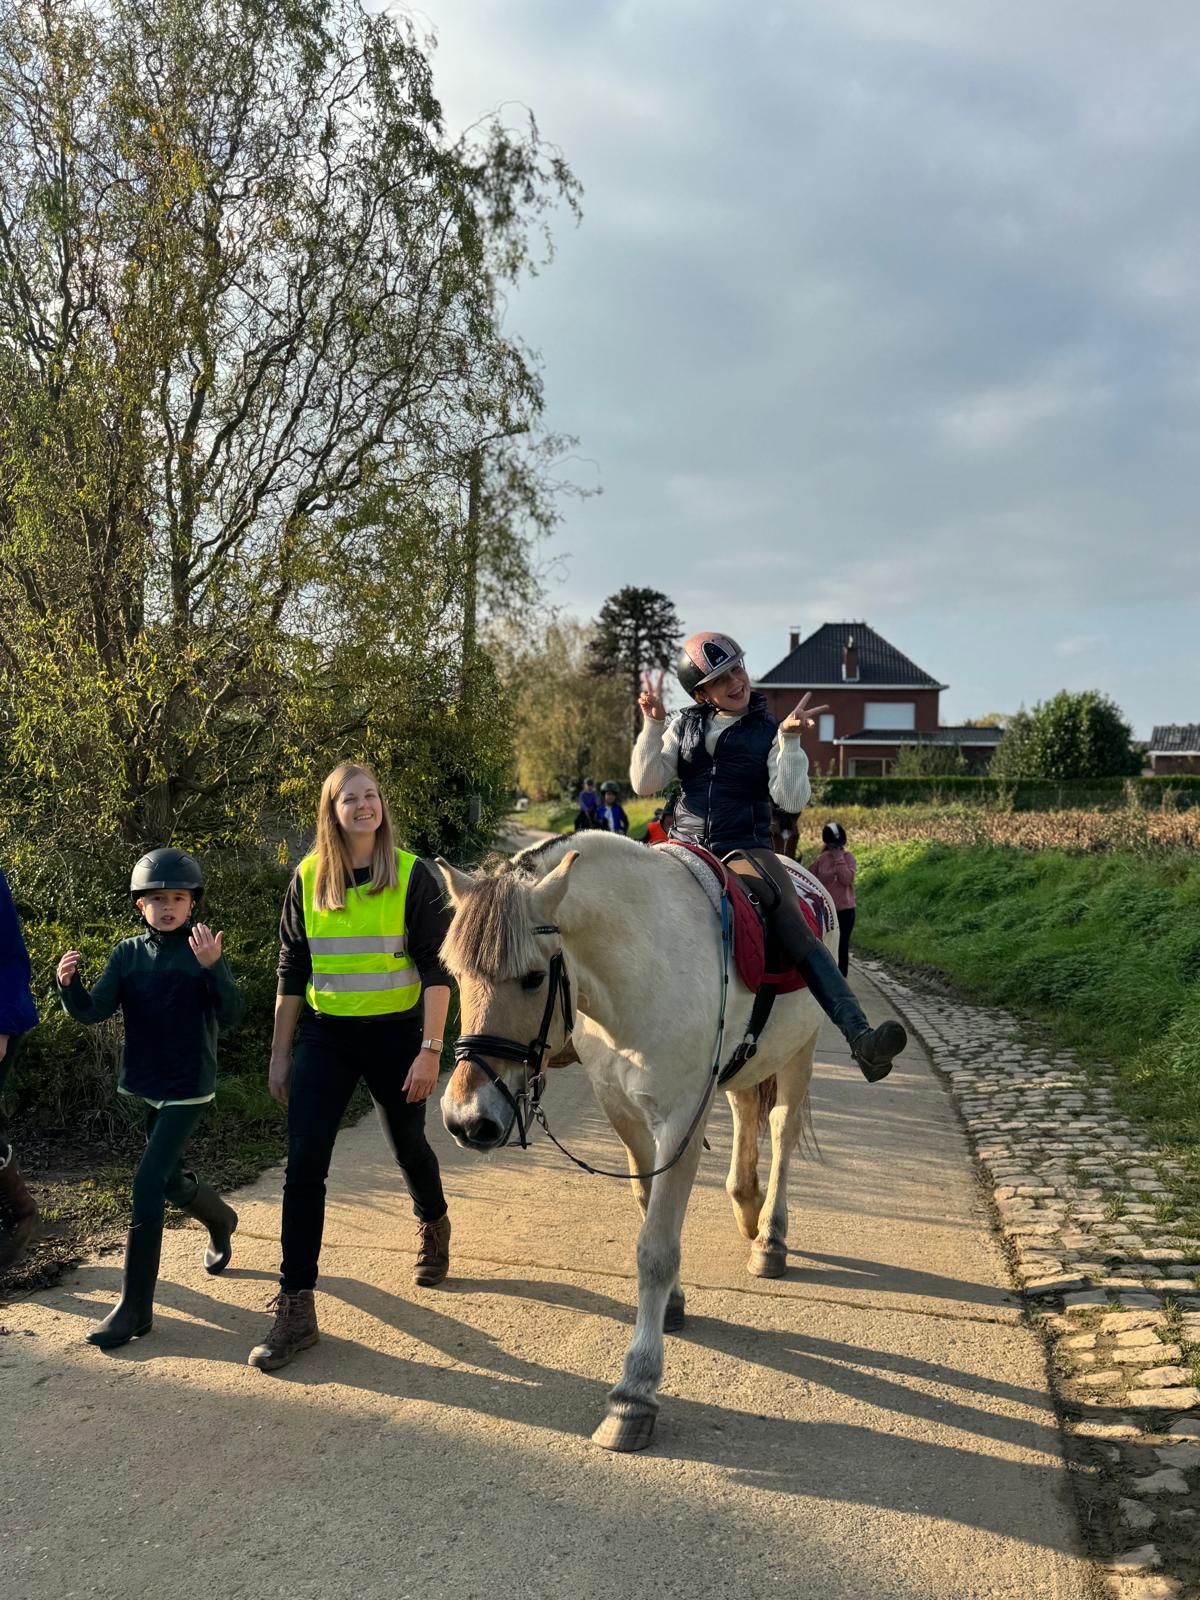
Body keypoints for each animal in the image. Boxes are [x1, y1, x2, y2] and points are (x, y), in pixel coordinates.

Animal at [435, 830, 830, 1453]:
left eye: (533, 977)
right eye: (455, 974)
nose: (465, 1119)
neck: (644, 969)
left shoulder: (682, 1120)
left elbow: (656, 1250)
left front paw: (635, 1391)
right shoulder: (621, 1110)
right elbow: (646, 1207)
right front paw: (673, 1305)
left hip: (800, 1051)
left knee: (782, 1129)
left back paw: (770, 1236)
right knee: (747, 1110)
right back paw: (746, 1206)